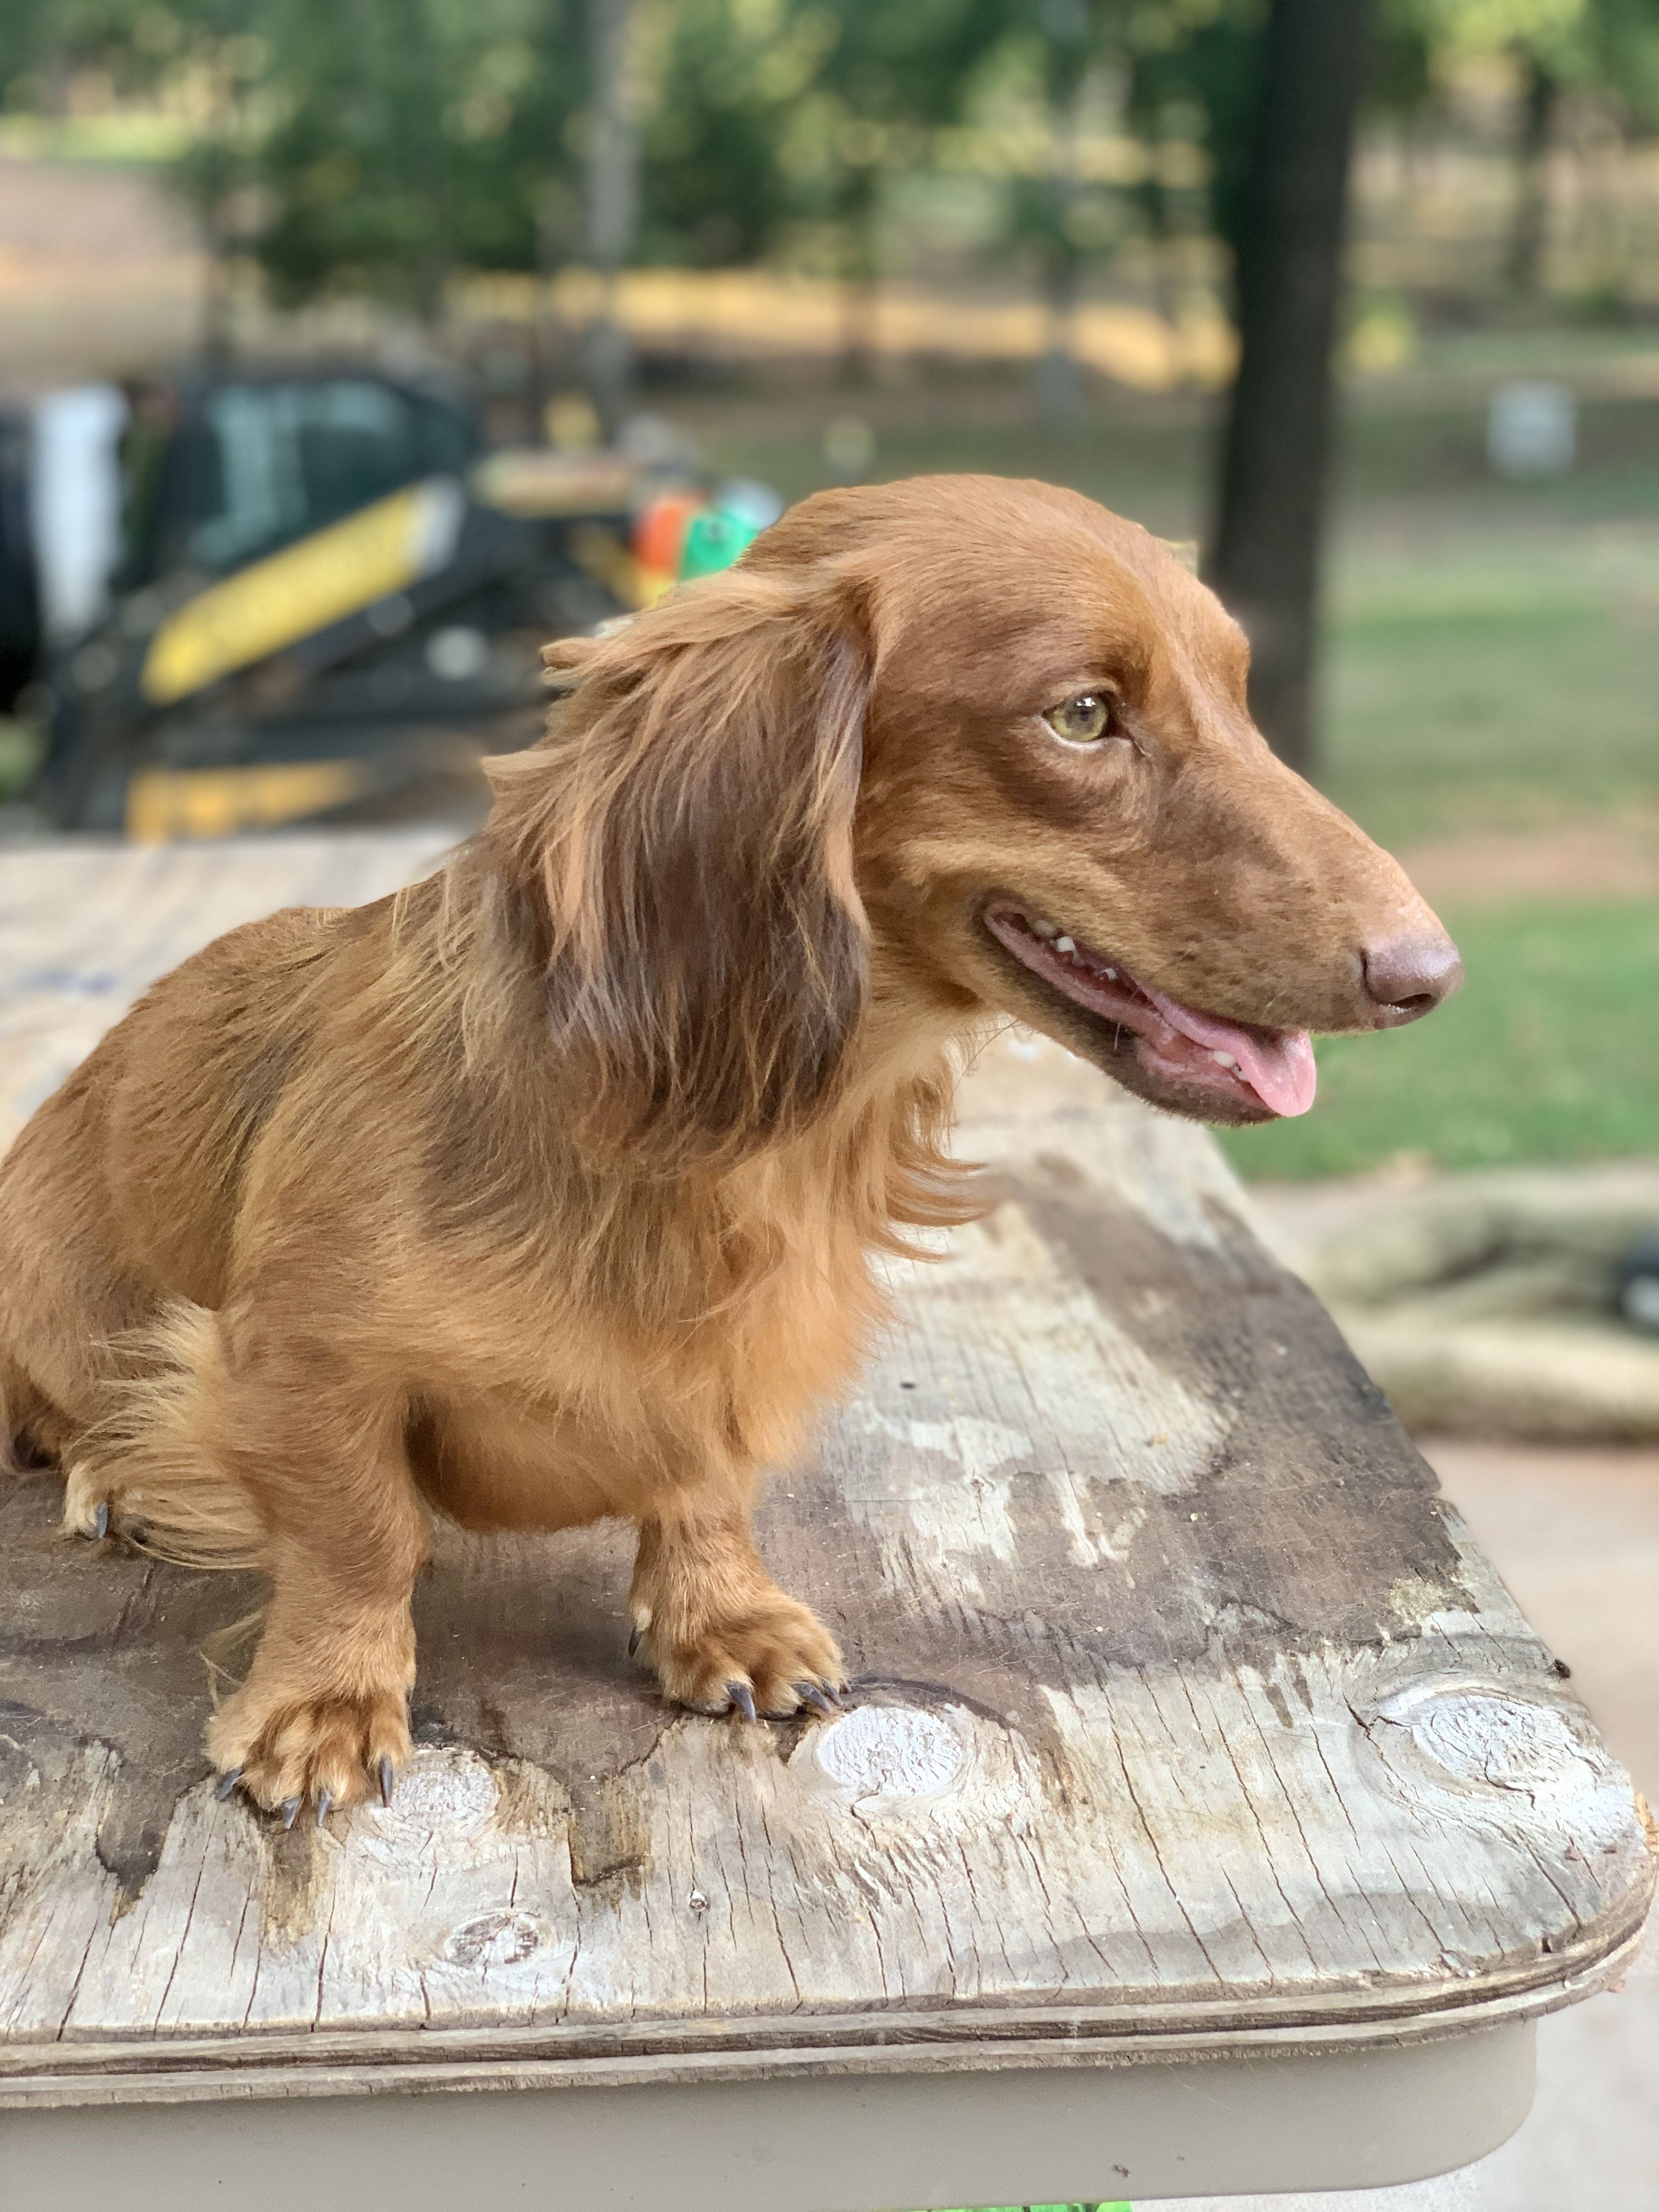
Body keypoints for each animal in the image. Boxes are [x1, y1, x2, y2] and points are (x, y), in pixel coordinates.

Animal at [0, 475, 1461, 1818]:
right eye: (1084, 715)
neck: (719, 1148)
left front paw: (720, 1617)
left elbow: (703, 1483)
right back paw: (114, 1473)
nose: (1428, 976)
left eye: (1242, 695)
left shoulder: (726, 1366)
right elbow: (361, 1536)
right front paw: (325, 1700)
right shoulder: (301, 1366)